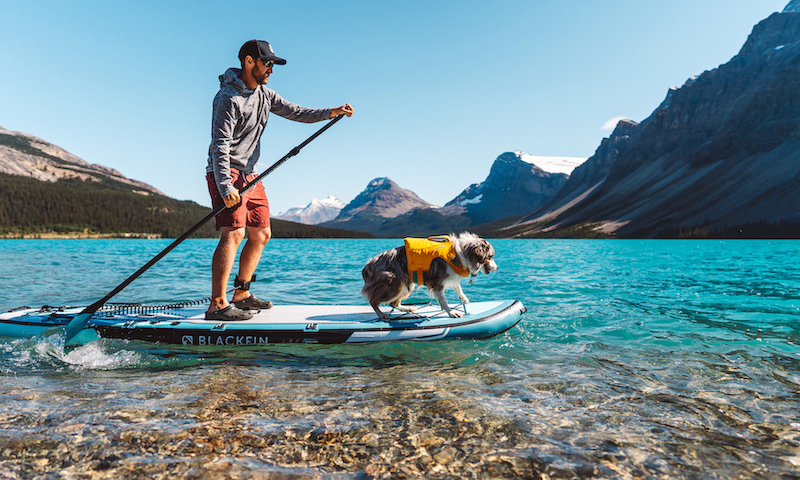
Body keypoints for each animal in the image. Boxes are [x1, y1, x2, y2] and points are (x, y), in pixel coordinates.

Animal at [360, 232, 496, 318]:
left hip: (407, 285)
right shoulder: (437, 283)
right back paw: (381, 314)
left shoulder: (451, 277)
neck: (459, 254)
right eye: (490, 256)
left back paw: (408, 308)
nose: (496, 268)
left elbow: (458, 288)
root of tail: (367, 266)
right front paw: (451, 313)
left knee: (393, 303)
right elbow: (444, 300)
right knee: (373, 301)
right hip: (395, 283)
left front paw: (464, 298)